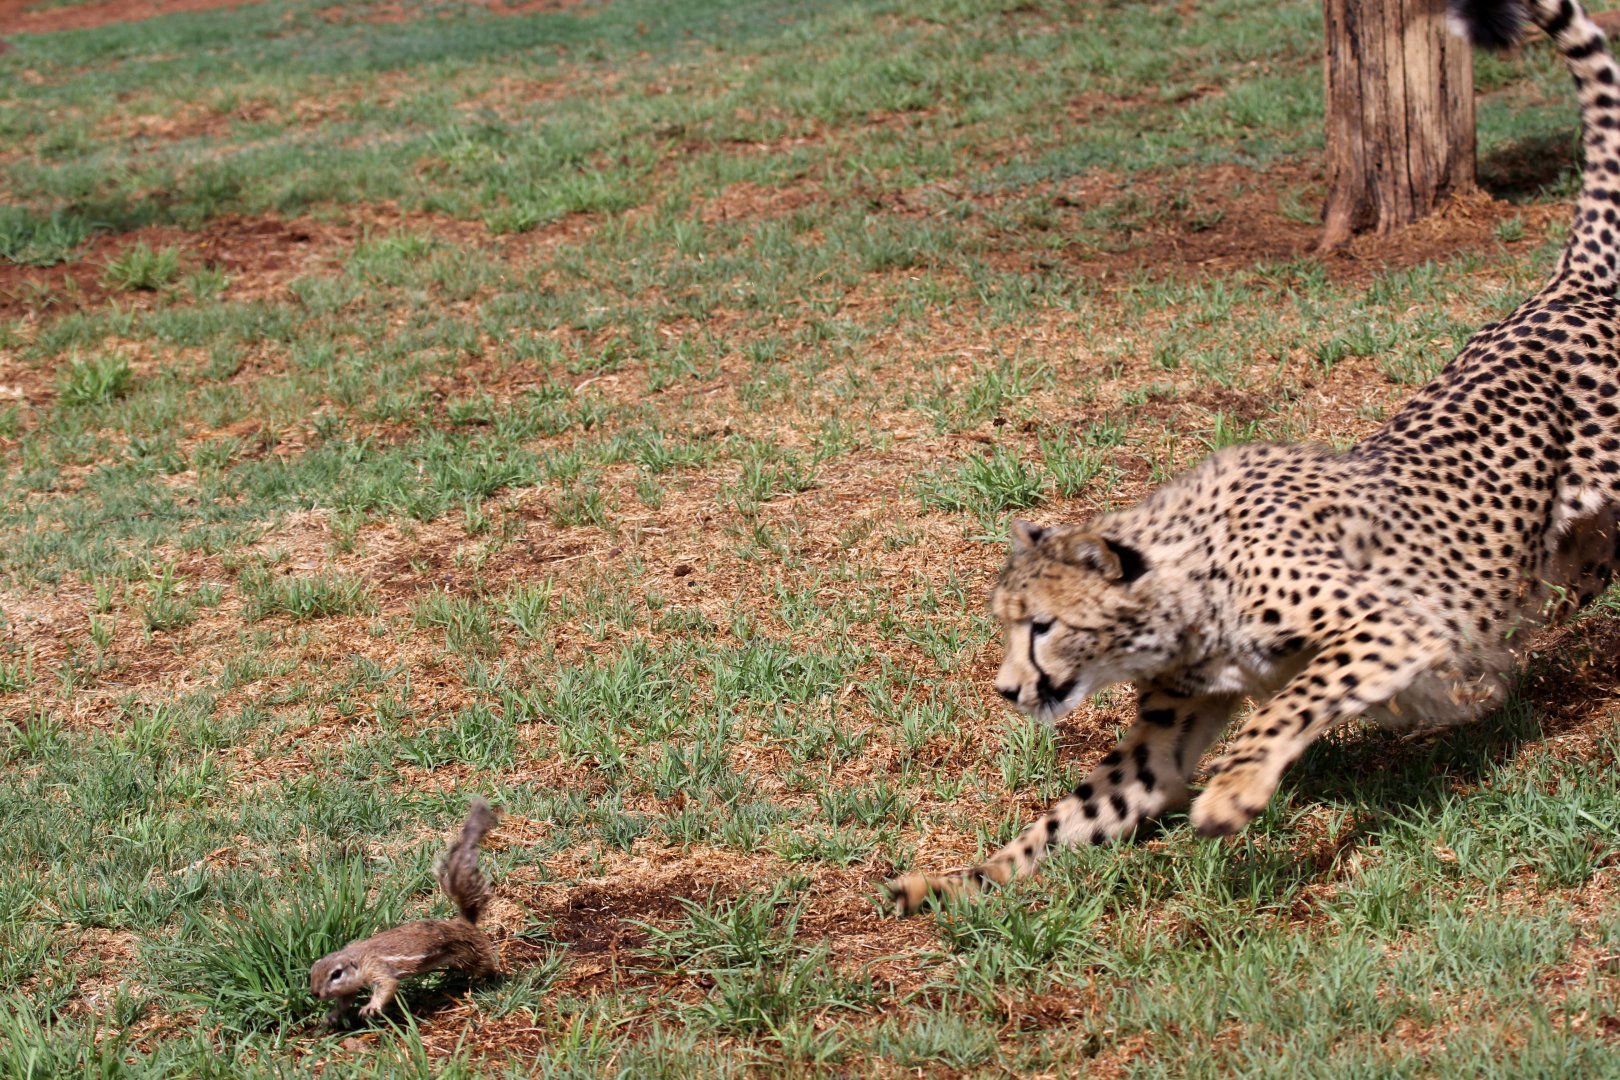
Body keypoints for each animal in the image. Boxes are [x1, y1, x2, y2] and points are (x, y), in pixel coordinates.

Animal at [309, 798, 500, 1026]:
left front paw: (371, 1007)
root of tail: (464, 922)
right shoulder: (351, 987)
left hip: (472, 954)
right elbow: (345, 1001)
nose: (315, 993)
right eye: (312, 973)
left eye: (336, 974)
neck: (358, 958)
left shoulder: (377, 968)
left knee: (486, 964)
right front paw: (331, 1016)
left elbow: (387, 986)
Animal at [887, 0, 1620, 915]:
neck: (1181, 589)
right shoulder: (1160, 740)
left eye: (1043, 625)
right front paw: (953, 881)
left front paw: (1236, 790)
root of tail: (1565, 287)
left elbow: (1293, 700)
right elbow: (1065, 819)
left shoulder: (1393, 624)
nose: (1006, 690)